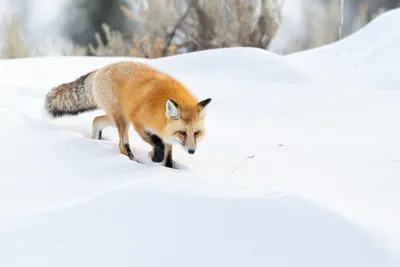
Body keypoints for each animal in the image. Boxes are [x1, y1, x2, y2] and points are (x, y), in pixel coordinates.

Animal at [43, 61, 212, 169]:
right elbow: (158, 144)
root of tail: (100, 70)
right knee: (122, 145)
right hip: (123, 119)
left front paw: (167, 169)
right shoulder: (139, 123)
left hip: (115, 118)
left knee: (96, 120)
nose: (191, 151)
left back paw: (95, 141)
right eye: (182, 133)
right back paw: (132, 161)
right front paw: (154, 157)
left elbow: (168, 157)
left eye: (196, 133)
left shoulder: (166, 133)